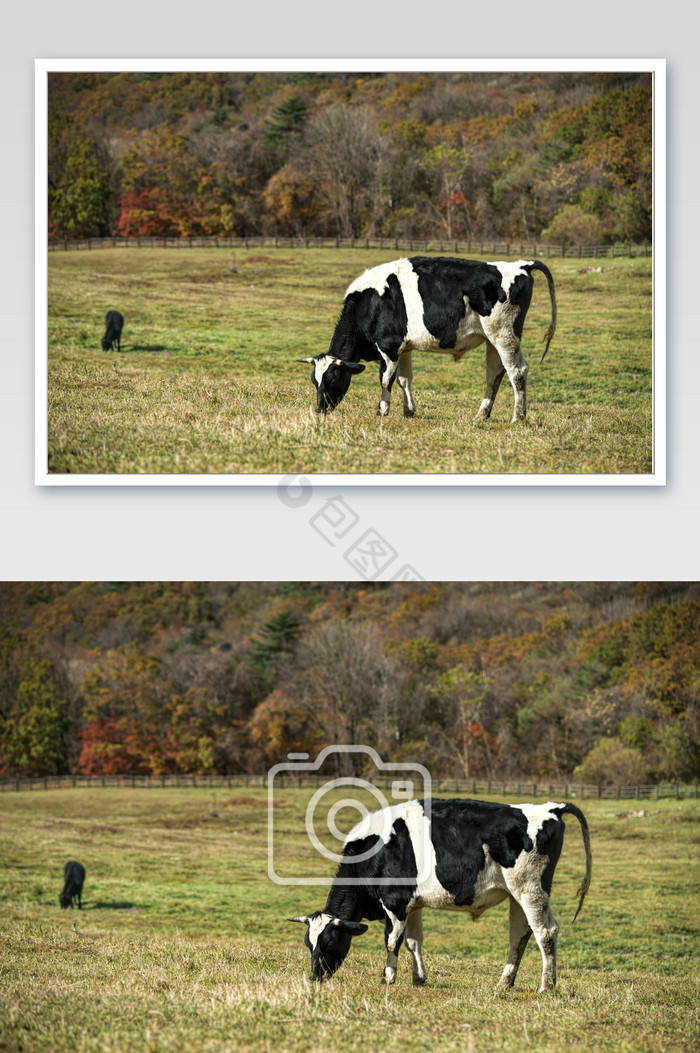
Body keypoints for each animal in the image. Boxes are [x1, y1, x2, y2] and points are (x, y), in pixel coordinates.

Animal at [288, 796, 589, 994]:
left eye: (329, 942)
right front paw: (418, 978)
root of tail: (549, 807)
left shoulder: (395, 903)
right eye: (309, 944)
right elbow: (413, 942)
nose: (315, 977)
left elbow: (392, 942)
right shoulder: (413, 905)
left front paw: (388, 978)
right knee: (520, 935)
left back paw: (547, 986)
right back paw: (504, 983)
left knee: (545, 933)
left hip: (530, 890)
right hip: (518, 895)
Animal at [296, 256, 555, 421]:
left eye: (332, 379)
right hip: (494, 340)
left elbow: (386, 379)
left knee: (517, 372)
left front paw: (382, 410)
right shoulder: (404, 348)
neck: (369, 303)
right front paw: (408, 411)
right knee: (495, 375)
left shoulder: (388, 346)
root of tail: (521, 265)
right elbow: (404, 380)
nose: (320, 410)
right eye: (314, 381)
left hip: (504, 335)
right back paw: (481, 415)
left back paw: (518, 417)